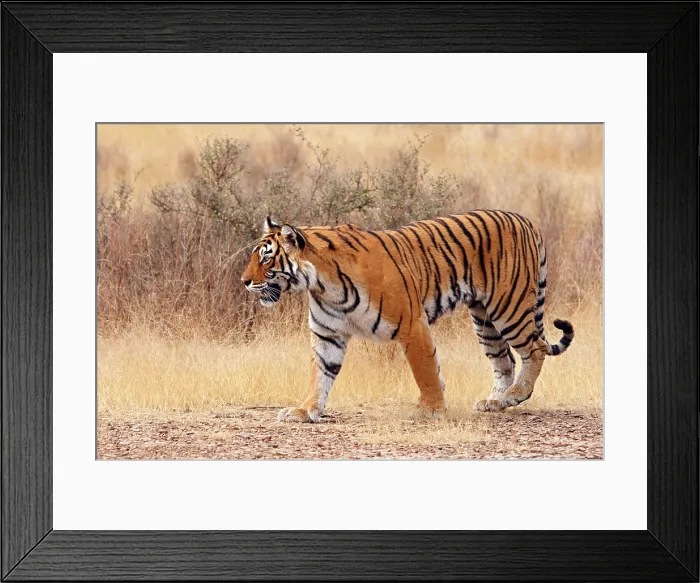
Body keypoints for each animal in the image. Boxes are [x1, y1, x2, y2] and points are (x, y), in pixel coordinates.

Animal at [241, 211, 574, 422]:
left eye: (266, 258)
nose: (243, 281)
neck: (323, 284)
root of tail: (527, 221)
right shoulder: (327, 334)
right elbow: (319, 374)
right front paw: (304, 410)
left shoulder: (412, 323)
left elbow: (425, 370)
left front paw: (431, 410)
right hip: (483, 319)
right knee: (504, 361)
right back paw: (496, 401)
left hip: (508, 307)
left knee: (535, 349)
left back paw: (517, 394)